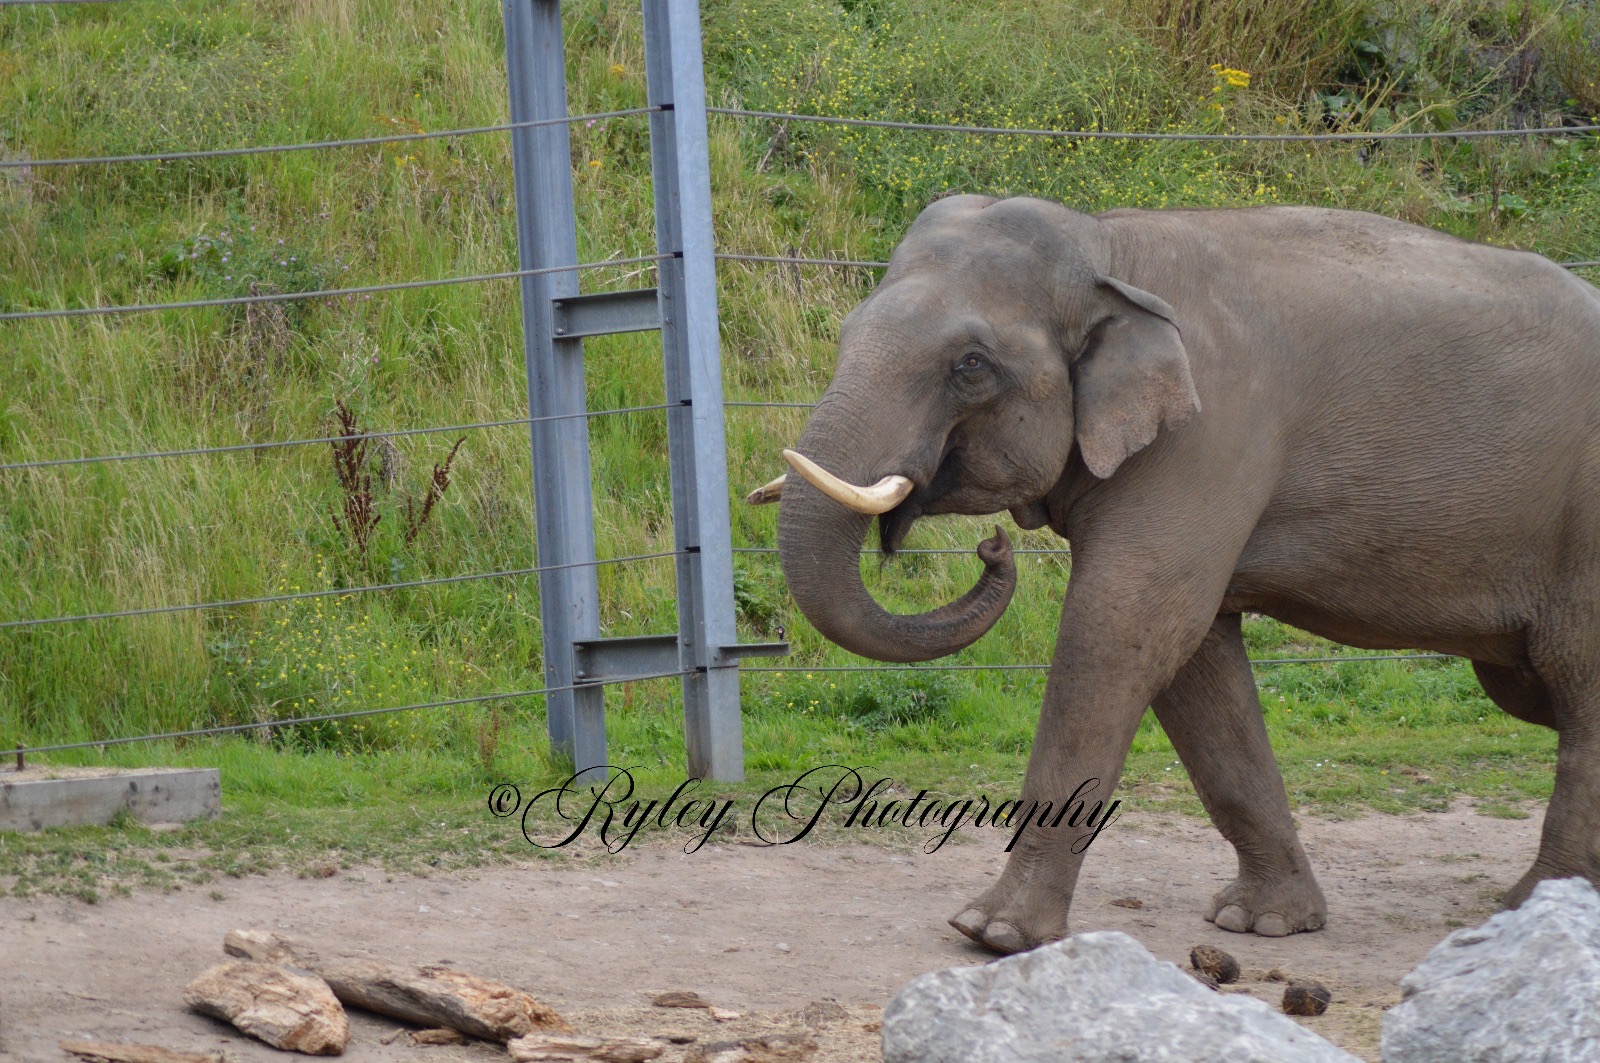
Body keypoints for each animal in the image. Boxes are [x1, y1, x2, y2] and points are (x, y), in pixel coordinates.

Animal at [750, 194, 1600, 955]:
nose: (992, 548)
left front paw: (990, 933)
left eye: (971, 365)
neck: (1108, 248)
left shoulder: (1207, 437)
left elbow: (1123, 625)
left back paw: (1535, 907)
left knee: (1575, 678)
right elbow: (1195, 662)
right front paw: (1259, 923)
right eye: (847, 333)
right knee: (1535, 689)